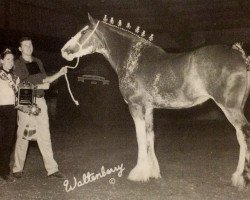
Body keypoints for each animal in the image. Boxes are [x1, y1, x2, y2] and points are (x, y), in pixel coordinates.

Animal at [61, 13, 250, 188]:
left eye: (83, 31)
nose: (64, 50)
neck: (133, 58)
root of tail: (240, 57)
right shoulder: (149, 108)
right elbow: (150, 136)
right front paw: (152, 172)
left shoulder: (135, 106)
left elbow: (140, 137)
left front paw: (138, 173)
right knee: (240, 136)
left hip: (230, 107)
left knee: (244, 134)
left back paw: (240, 178)